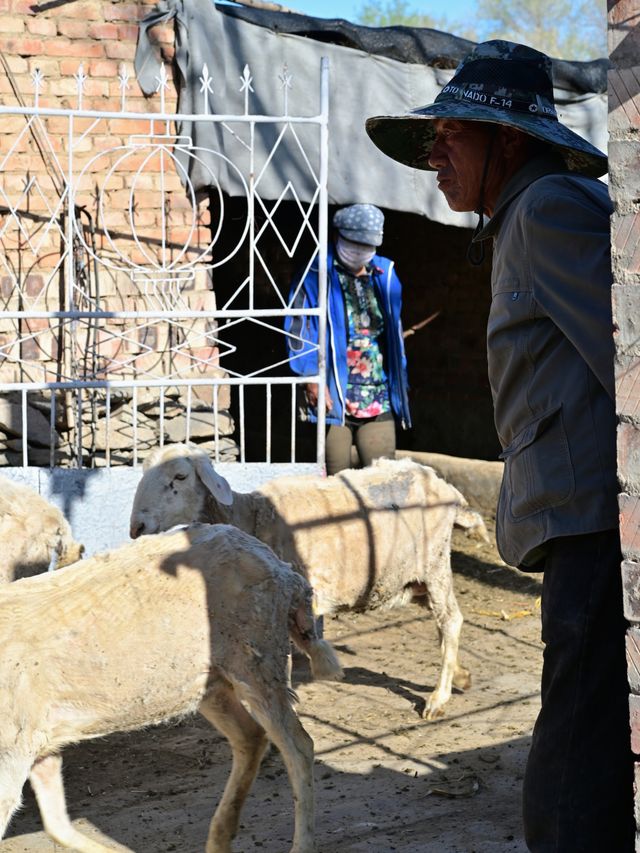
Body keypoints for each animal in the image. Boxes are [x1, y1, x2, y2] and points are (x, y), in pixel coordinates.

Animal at [1, 524, 344, 848]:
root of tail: (284, 572)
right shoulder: (36, 744)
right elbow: (57, 825)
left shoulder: (14, 748)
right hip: (212, 683)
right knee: (251, 736)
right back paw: (219, 839)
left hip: (257, 660)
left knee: (298, 746)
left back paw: (300, 844)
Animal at [130, 446, 484, 720]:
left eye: (179, 477)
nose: (137, 527)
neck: (250, 516)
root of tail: (443, 485)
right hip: (410, 577)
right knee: (442, 624)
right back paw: (461, 676)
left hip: (435, 564)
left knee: (451, 620)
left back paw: (438, 698)